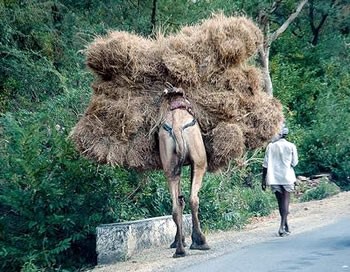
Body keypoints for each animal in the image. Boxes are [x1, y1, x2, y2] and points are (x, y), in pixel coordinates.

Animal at [159, 82, 211, 258]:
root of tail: (175, 127)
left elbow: (179, 200)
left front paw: (178, 240)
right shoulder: (196, 162)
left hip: (169, 167)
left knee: (176, 206)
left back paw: (180, 250)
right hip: (200, 161)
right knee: (193, 199)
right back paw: (201, 242)